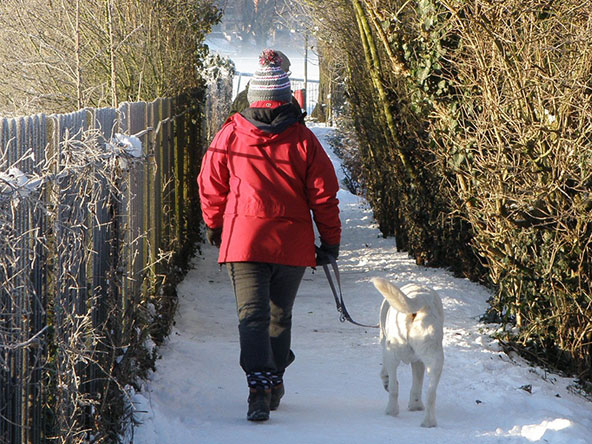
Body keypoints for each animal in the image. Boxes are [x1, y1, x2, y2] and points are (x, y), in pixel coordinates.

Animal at [372, 278, 442, 426]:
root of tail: (422, 298)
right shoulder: (418, 362)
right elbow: (417, 385)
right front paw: (415, 406)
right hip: (435, 357)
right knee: (431, 394)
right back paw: (429, 423)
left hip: (392, 351)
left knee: (394, 387)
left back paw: (391, 411)